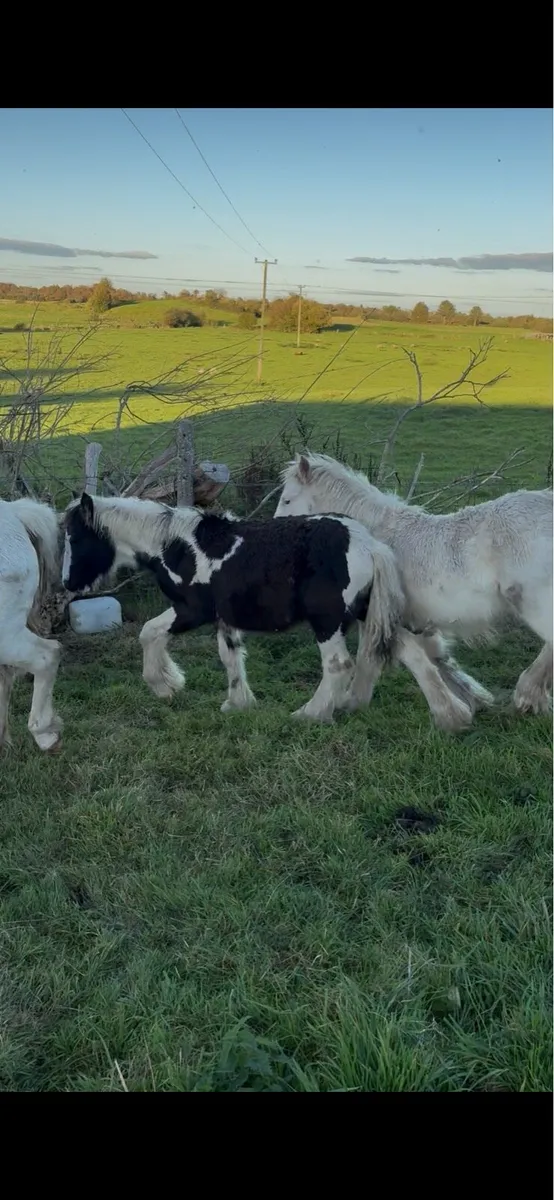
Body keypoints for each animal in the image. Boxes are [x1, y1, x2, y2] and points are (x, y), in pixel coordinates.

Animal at [62, 492, 407, 723]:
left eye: (75, 539)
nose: (67, 583)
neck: (176, 547)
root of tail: (371, 546)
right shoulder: (223, 618)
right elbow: (230, 656)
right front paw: (238, 703)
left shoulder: (192, 611)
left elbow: (149, 632)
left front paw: (165, 685)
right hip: (364, 615)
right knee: (369, 658)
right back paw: (349, 705)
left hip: (327, 621)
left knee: (338, 665)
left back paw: (310, 713)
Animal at [274, 453, 553, 725]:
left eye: (287, 500)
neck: (371, 542)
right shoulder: (415, 621)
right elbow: (436, 657)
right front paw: (472, 700)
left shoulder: (384, 616)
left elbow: (388, 657)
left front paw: (449, 715)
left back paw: (527, 695)